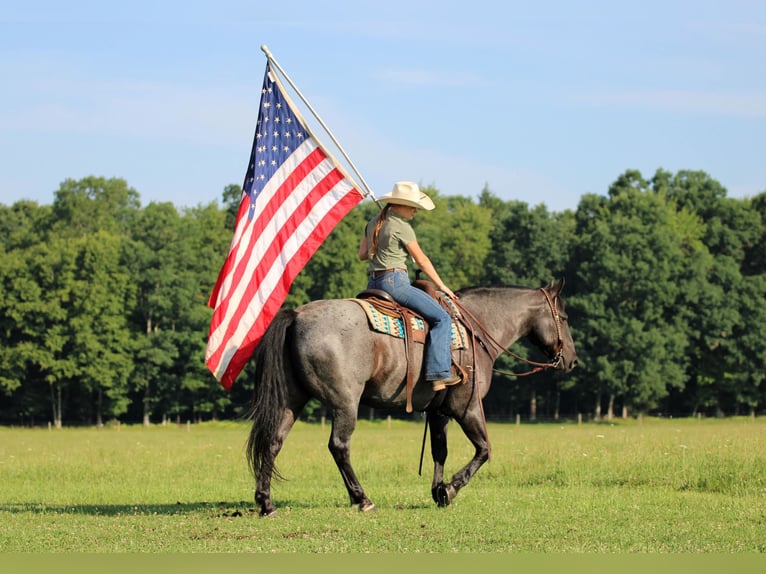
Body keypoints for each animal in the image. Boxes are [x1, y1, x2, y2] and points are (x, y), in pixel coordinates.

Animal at [246, 279, 578, 516]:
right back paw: (362, 499)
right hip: (345, 404)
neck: (474, 331)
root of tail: (297, 315)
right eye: (563, 316)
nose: (572, 361)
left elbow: (439, 451)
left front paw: (439, 491)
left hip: (291, 401)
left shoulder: (438, 411)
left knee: (273, 442)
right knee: (339, 447)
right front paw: (451, 489)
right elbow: (484, 450)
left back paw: (266, 503)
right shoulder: (467, 407)